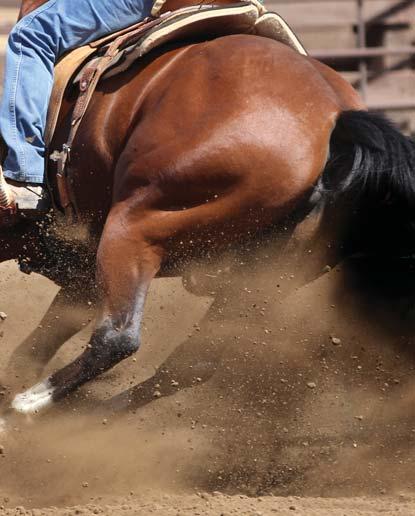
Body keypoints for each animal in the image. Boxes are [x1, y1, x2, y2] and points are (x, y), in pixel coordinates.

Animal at [0, 0, 415, 424]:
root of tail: (334, 118)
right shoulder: (80, 267)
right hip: (261, 275)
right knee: (191, 364)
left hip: (138, 223)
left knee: (117, 337)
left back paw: (26, 405)